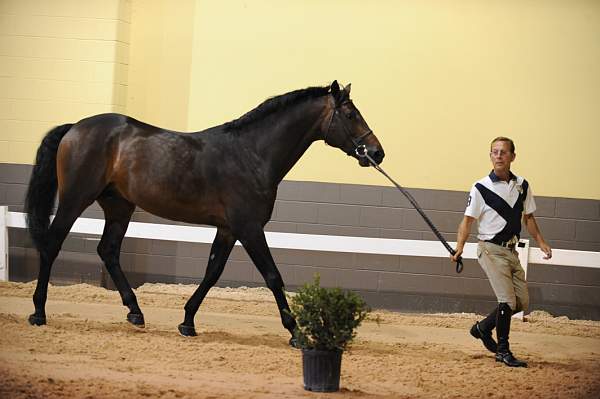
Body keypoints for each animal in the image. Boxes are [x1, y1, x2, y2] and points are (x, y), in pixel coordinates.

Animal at [24, 80, 384, 340]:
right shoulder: (250, 228)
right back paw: (39, 313)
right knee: (52, 244)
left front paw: (187, 322)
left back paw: (135, 312)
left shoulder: (228, 229)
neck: (251, 154)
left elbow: (212, 273)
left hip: (119, 207)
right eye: (350, 115)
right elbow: (272, 276)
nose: (377, 153)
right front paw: (296, 332)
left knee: (108, 251)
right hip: (75, 199)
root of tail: (75, 127)